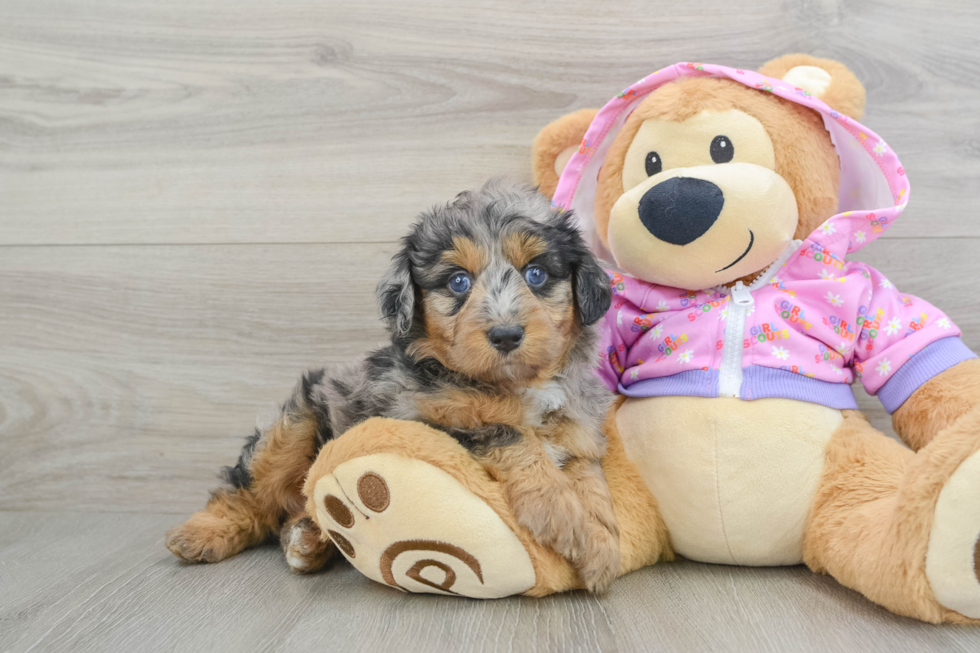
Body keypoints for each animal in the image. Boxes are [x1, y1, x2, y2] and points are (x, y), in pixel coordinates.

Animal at [164, 180, 616, 592]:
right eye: (458, 282)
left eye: (536, 274)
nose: (506, 335)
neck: (512, 385)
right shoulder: (418, 419)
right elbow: (510, 434)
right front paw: (563, 514)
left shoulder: (577, 428)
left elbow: (588, 474)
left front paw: (600, 536)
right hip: (293, 425)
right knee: (249, 495)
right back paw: (204, 533)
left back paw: (308, 539)